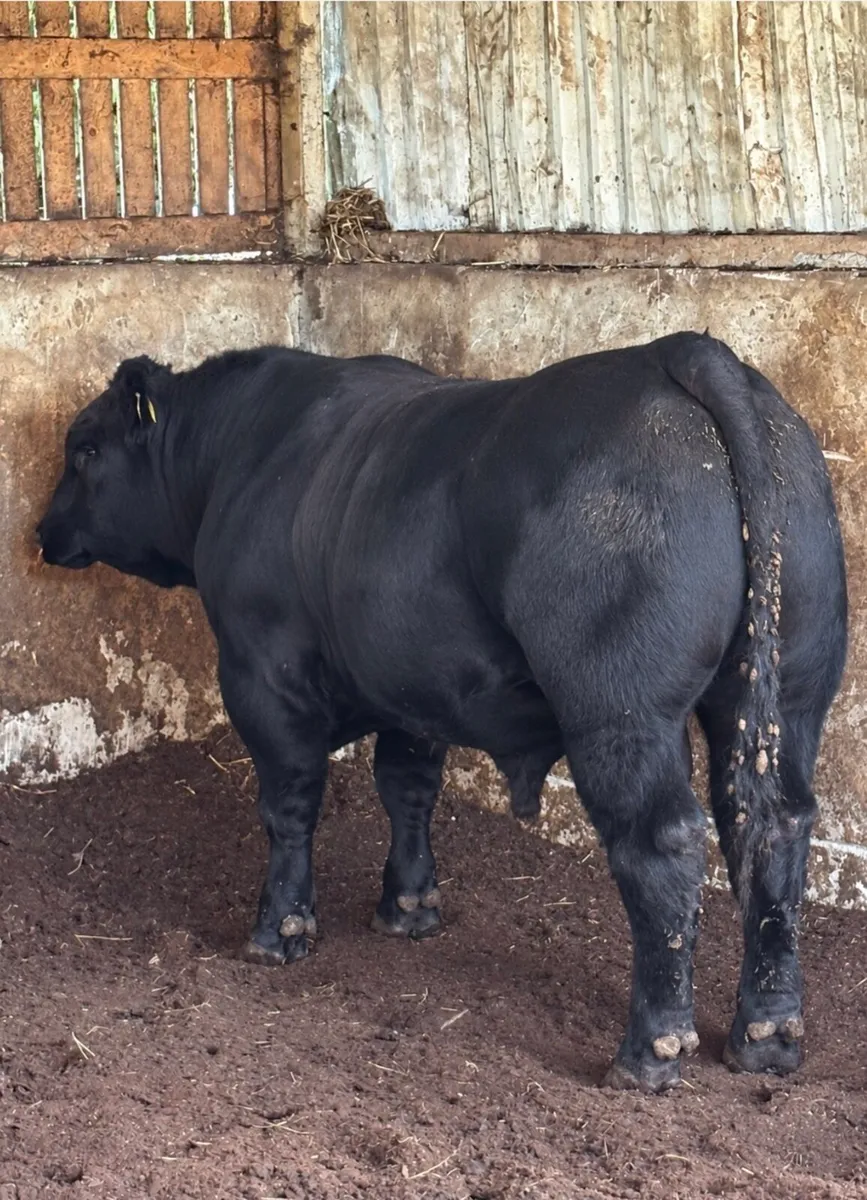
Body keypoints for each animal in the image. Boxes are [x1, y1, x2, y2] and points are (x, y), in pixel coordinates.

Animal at [37, 332, 846, 1093]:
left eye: (85, 450)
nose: (43, 532)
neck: (240, 452)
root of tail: (678, 351)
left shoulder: (261, 671)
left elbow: (290, 803)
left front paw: (279, 931)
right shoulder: (413, 681)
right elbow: (408, 789)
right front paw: (408, 906)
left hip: (620, 708)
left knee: (663, 842)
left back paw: (651, 1050)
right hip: (789, 693)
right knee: (775, 824)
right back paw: (767, 1034)